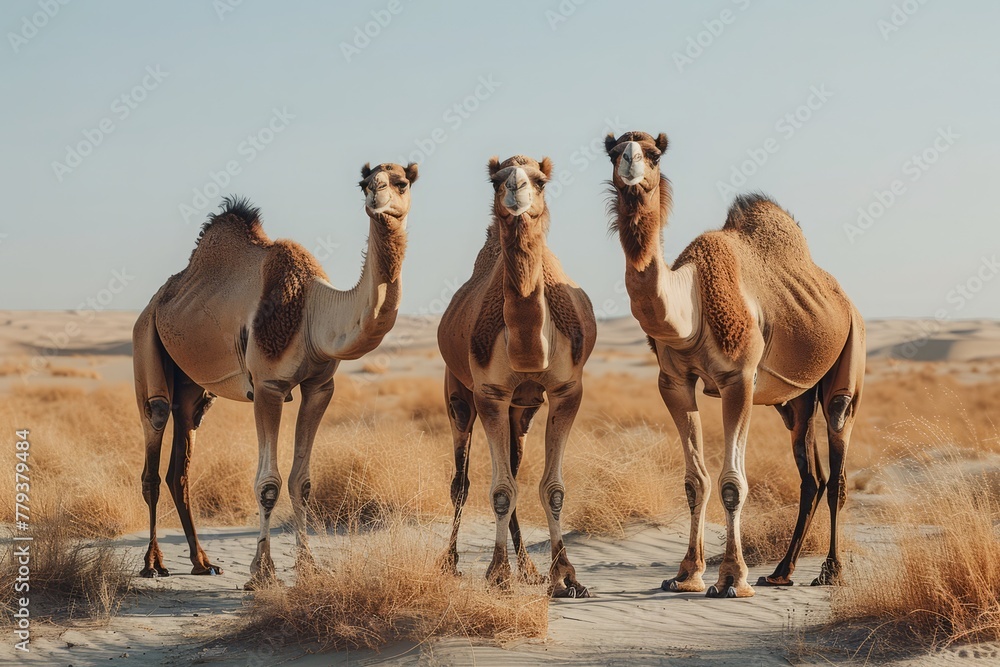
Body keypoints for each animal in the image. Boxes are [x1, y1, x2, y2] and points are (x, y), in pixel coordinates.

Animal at [132, 163, 418, 588]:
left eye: (402, 182)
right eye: (365, 182)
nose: (377, 195)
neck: (314, 309)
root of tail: (157, 301)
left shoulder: (320, 387)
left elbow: (303, 481)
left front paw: (309, 567)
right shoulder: (268, 386)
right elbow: (268, 483)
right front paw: (262, 573)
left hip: (194, 388)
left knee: (179, 464)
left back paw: (202, 561)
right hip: (146, 339)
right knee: (155, 436)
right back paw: (153, 563)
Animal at [436, 157, 592, 600]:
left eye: (540, 180)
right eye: (496, 179)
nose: (516, 189)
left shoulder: (566, 391)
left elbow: (551, 489)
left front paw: (565, 577)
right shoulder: (490, 393)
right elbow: (501, 491)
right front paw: (498, 574)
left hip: (522, 411)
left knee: (516, 468)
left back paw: (530, 569)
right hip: (458, 393)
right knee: (461, 482)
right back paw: (451, 563)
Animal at [604, 132, 864, 600]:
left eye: (654, 154)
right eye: (615, 153)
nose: (631, 166)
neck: (691, 304)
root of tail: (844, 298)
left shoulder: (738, 378)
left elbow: (732, 483)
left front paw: (731, 579)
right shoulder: (674, 381)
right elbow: (696, 481)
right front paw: (686, 574)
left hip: (851, 350)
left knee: (836, 462)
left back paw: (830, 572)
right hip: (794, 401)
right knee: (811, 476)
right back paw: (780, 571)